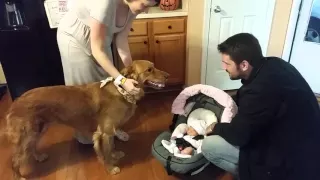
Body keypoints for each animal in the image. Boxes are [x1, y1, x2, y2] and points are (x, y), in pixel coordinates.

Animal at [3, 59, 169, 179]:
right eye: (149, 70)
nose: (168, 75)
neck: (122, 91)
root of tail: (15, 102)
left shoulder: (109, 131)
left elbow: (111, 146)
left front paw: (115, 154)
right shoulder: (104, 132)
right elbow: (105, 152)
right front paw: (110, 168)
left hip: (39, 129)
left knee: (32, 147)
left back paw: (39, 157)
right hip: (27, 135)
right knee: (14, 160)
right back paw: (19, 177)